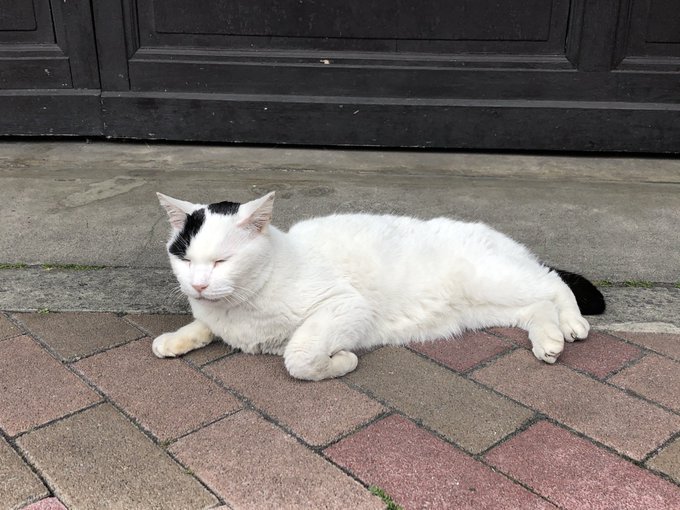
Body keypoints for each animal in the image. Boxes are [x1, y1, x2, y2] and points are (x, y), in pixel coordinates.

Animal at [152, 192, 605, 381]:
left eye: (222, 261)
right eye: (185, 259)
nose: (199, 285)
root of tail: (498, 236)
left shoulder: (345, 305)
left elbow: (299, 357)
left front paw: (340, 362)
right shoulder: (216, 317)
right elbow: (203, 326)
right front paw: (174, 339)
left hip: (496, 279)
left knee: (552, 283)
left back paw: (572, 324)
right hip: (490, 306)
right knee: (537, 306)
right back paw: (549, 341)